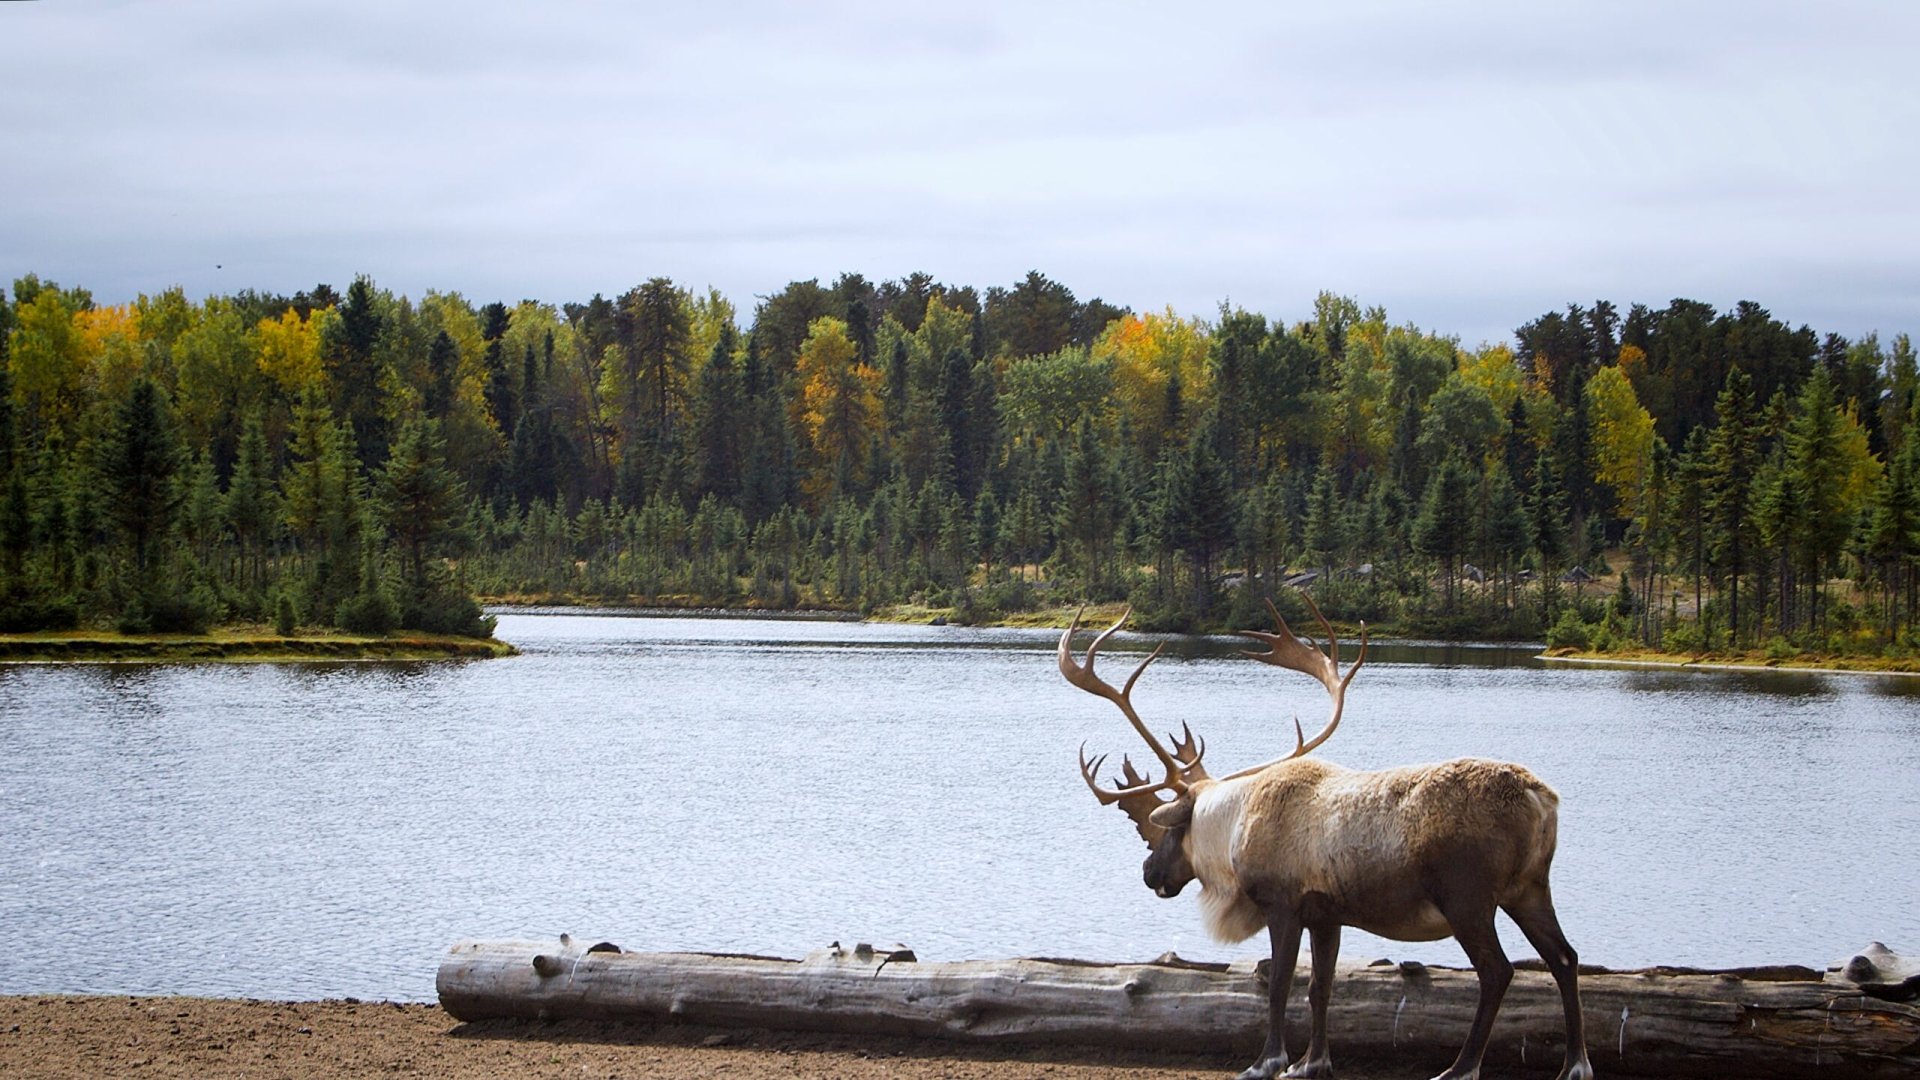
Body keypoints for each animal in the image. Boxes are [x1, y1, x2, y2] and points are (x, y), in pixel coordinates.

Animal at [1061, 595, 1592, 1080]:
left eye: (1167, 831)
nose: (1149, 873)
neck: (1231, 834)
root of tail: (1541, 798)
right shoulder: (1327, 914)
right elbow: (1322, 986)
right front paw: (1312, 1062)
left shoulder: (1281, 904)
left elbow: (1279, 983)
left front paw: (1267, 1062)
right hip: (1529, 889)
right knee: (1565, 957)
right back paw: (1574, 1065)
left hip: (1468, 897)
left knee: (1498, 970)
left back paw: (1461, 1068)